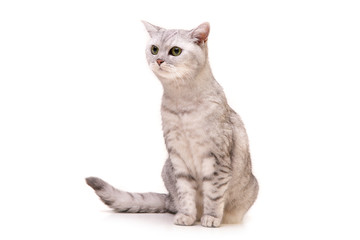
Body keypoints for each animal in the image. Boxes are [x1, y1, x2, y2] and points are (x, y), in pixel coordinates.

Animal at [85, 20, 258, 227]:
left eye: (175, 51)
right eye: (154, 49)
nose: (159, 60)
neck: (181, 103)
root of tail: (169, 199)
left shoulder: (216, 157)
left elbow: (214, 193)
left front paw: (211, 217)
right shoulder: (178, 157)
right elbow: (185, 193)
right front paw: (187, 216)